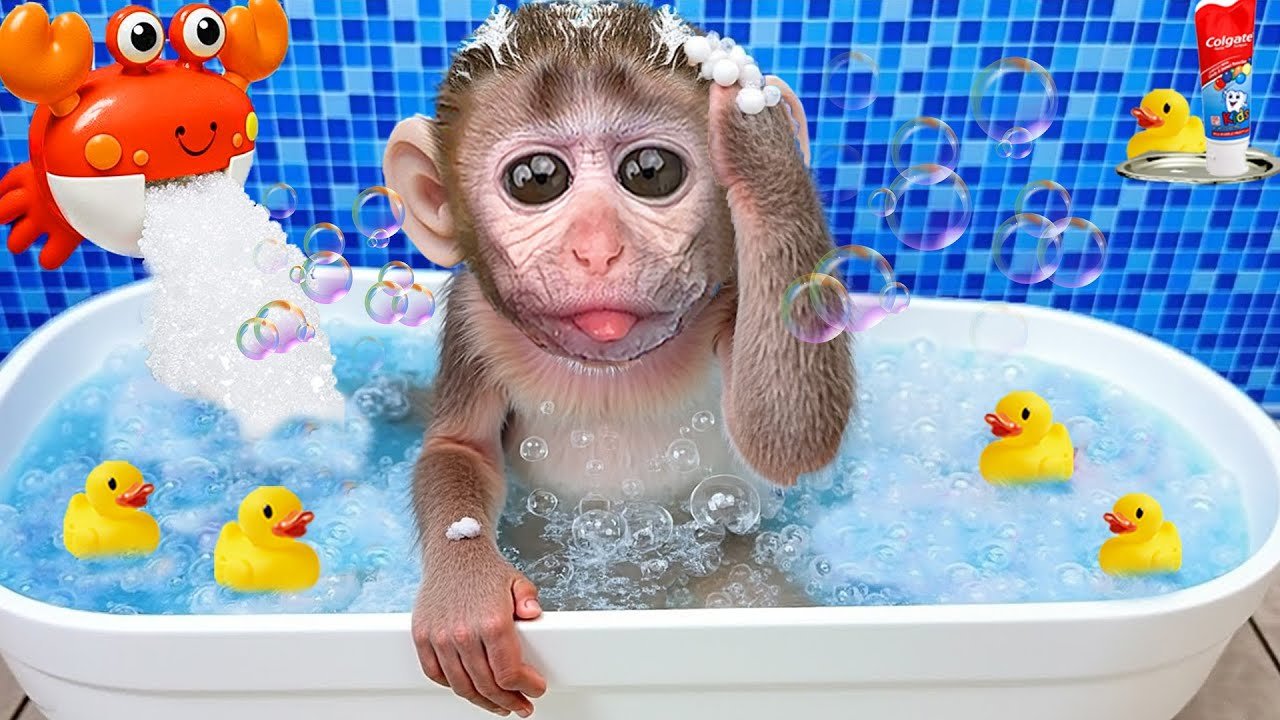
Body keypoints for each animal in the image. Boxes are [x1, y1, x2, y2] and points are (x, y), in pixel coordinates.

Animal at [382, 3, 854, 716]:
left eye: (650, 170)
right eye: (537, 179)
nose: (598, 248)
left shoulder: (732, 301)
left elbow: (787, 438)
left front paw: (753, 131)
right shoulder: (472, 319)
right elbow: (459, 448)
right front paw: (466, 593)